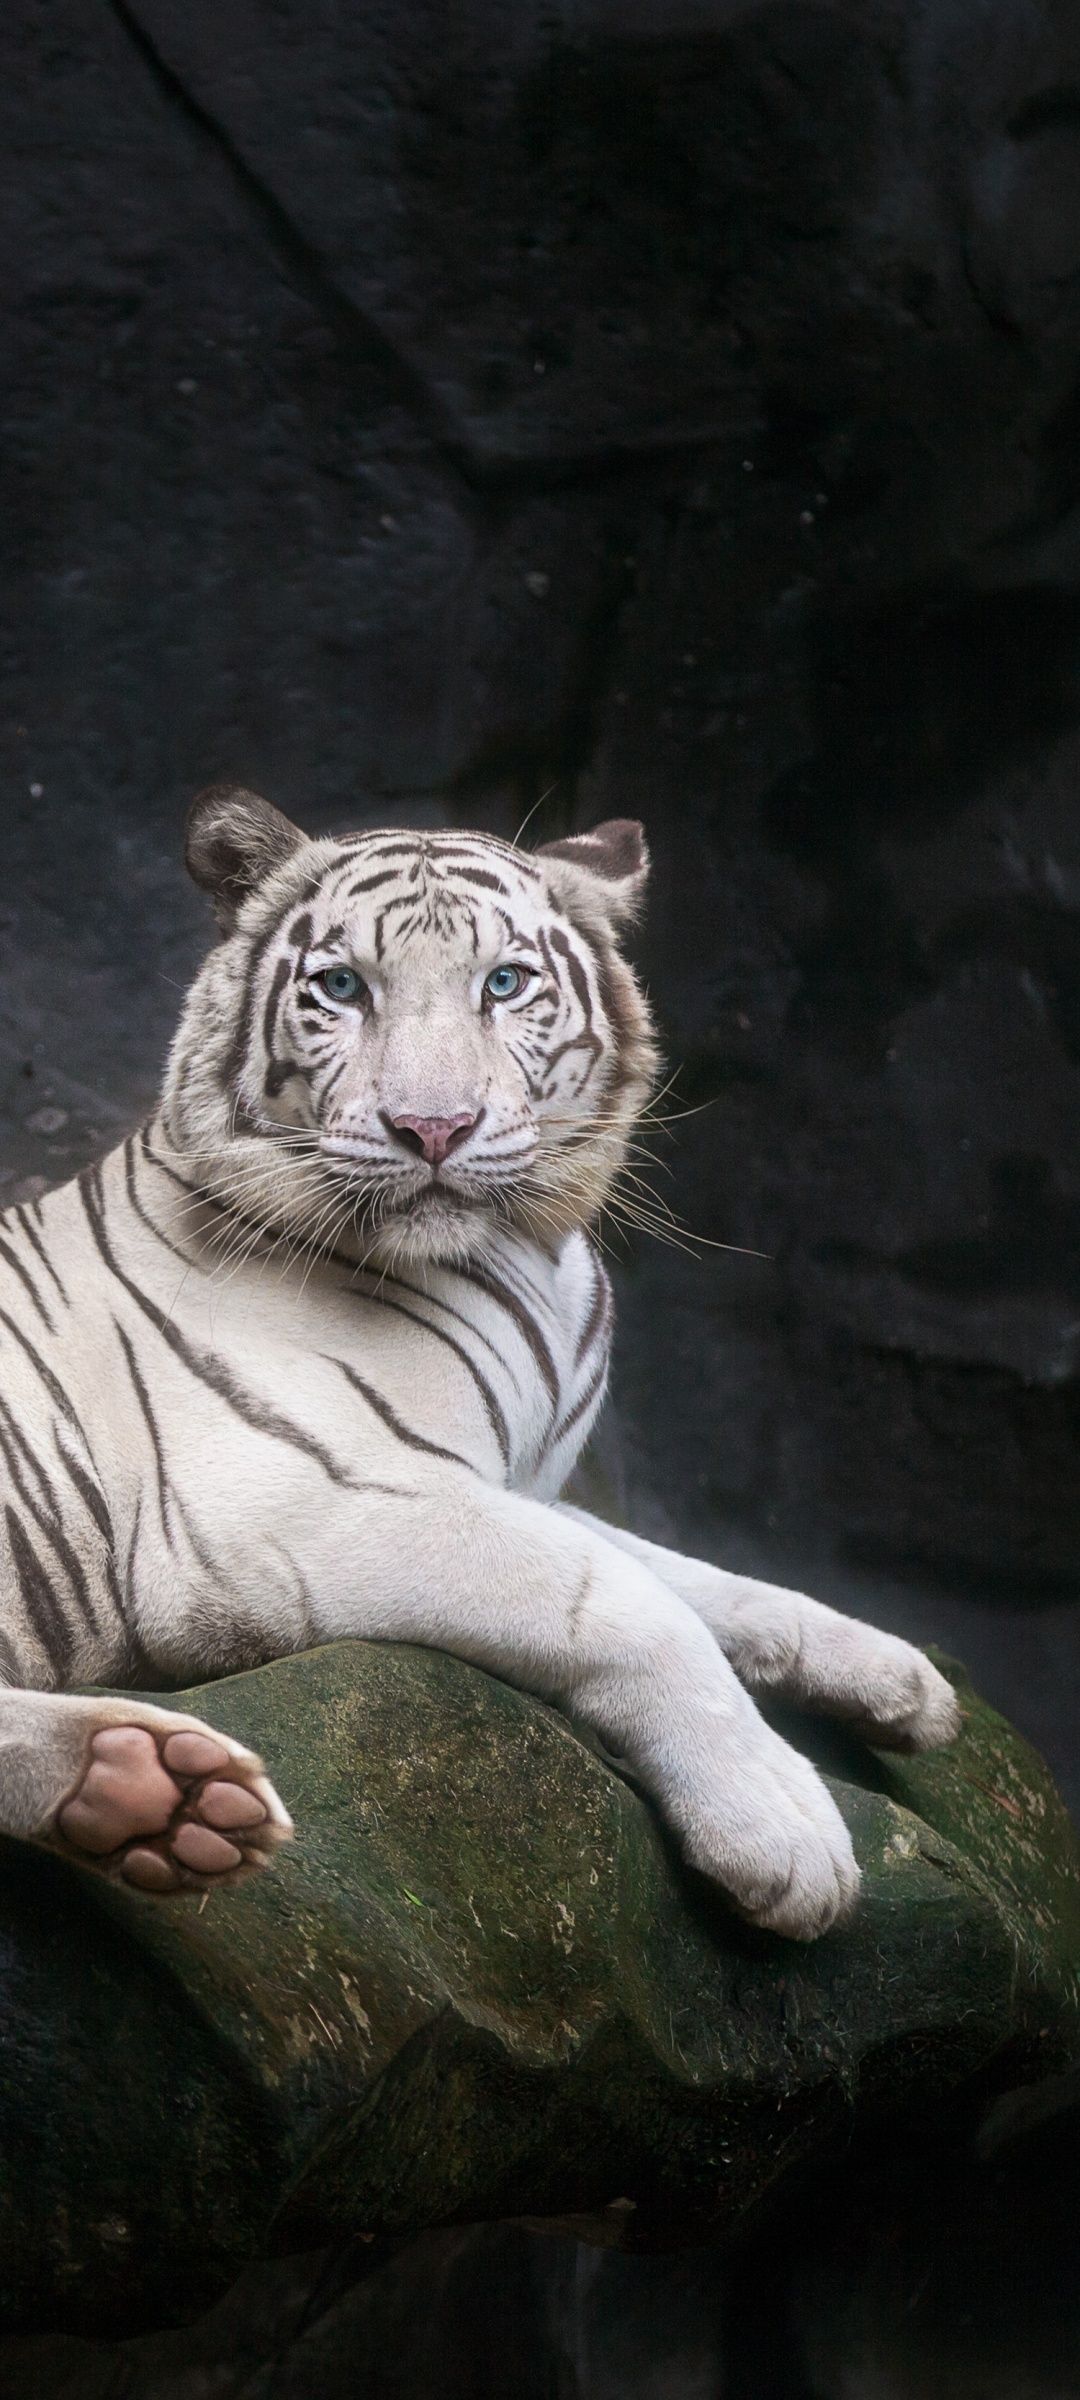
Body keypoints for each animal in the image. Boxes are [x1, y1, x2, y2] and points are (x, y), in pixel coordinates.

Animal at [0, 796, 955, 1939]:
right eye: (342, 988)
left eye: (504, 984)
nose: (433, 1128)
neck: (525, 1253)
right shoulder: (293, 1503)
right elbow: (627, 1599)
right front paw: (785, 1830)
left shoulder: (513, 1483)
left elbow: (695, 1575)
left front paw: (898, 1677)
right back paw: (146, 1787)